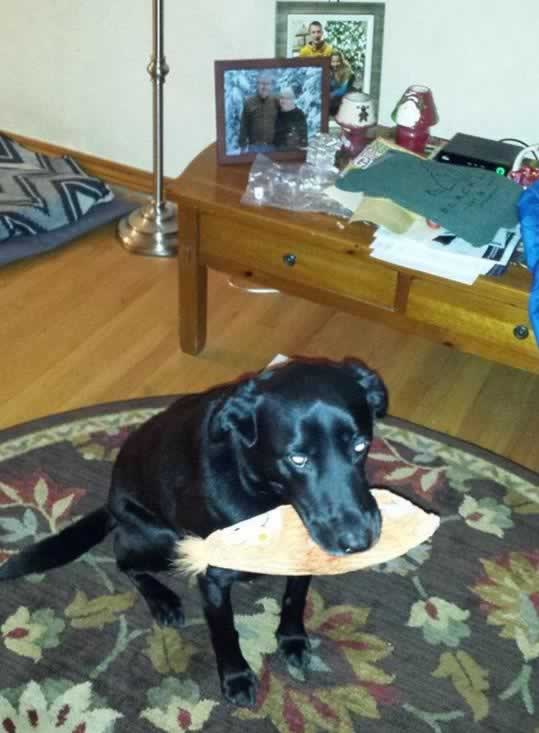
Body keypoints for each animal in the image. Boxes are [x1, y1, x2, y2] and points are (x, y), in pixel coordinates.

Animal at [0, 358, 388, 708]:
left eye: (360, 445)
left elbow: (295, 597)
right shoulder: (212, 577)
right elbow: (224, 631)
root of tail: (111, 503)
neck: (266, 496)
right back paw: (163, 600)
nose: (360, 541)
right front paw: (236, 678)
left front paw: (291, 639)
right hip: (163, 538)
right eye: (297, 459)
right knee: (124, 559)